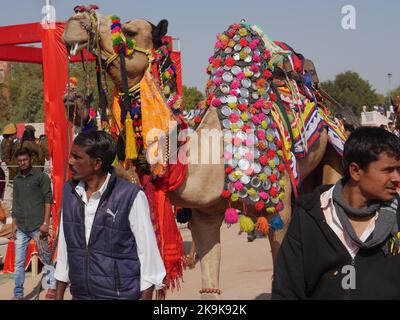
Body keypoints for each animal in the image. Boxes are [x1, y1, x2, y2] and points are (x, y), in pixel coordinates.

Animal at [61, 6, 344, 298]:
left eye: (129, 31)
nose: (77, 20)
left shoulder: (280, 211)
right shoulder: (205, 215)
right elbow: (209, 285)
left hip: (334, 158)